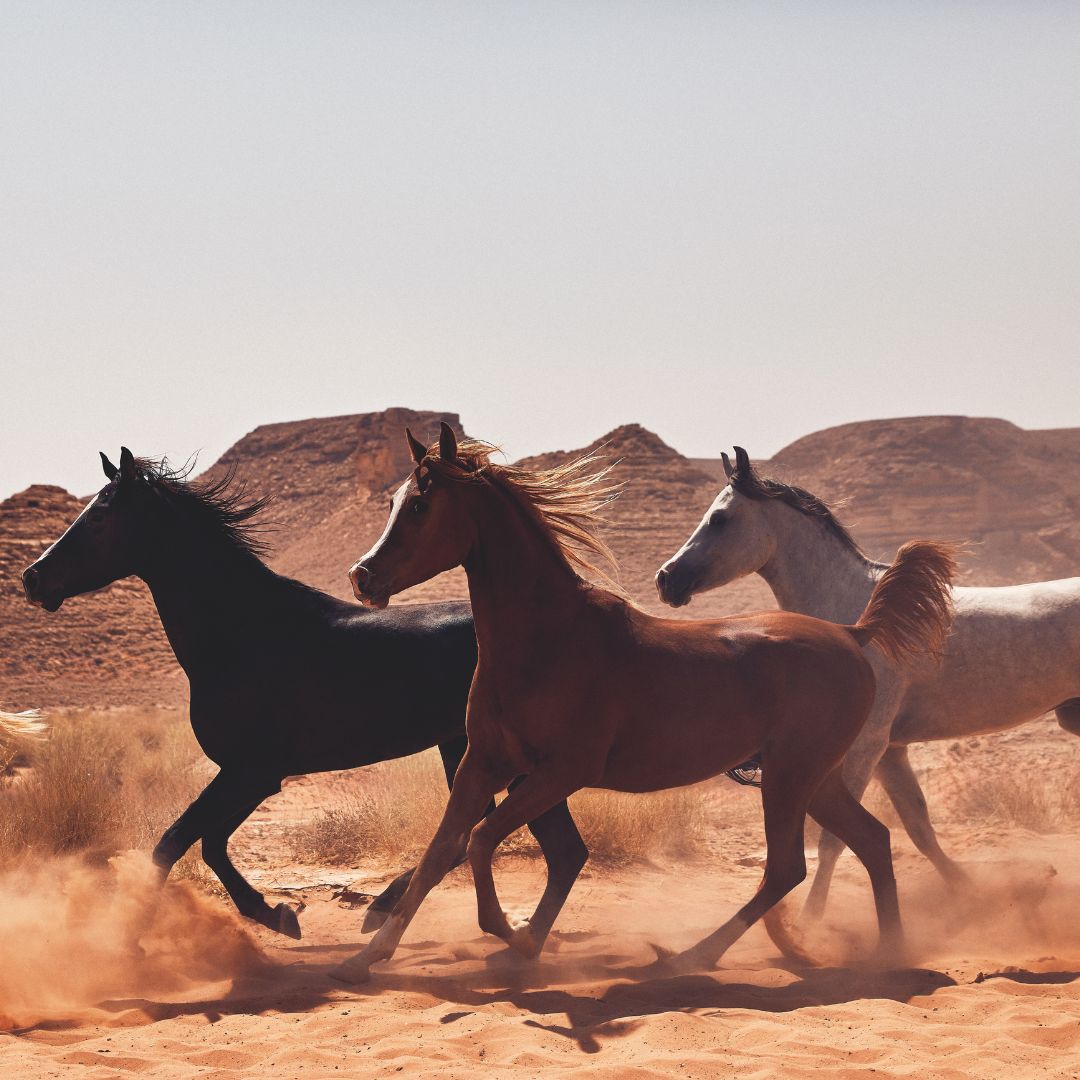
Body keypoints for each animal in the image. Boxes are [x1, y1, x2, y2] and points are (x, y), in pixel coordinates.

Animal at [19, 447, 583, 937]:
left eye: (98, 517)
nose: (32, 577)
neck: (242, 632)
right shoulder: (254, 776)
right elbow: (210, 843)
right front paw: (276, 914)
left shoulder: (251, 772)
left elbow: (176, 842)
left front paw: (130, 940)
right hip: (465, 748)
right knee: (525, 841)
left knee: (525, 843)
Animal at [328, 425, 954, 984]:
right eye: (393, 501)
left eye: (420, 505)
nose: (362, 577)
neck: (549, 640)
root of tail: (852, 633)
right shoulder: (483, 763)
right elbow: (441, 852)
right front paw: (366, 957)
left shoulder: (561, 771)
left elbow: (480, 842)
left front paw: (519, 938)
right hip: (813, 777)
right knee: (870, 841)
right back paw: (887, 953)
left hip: (792, 775)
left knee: (787, 868)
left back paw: (689, 958)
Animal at [652, 447, 1080, 920]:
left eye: (720, 518)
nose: (665, 579)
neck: (860, 620)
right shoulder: (891, 751)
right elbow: (919, 828)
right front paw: (972, 896)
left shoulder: (863, 747)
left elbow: (835, 841)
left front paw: (812, 919)